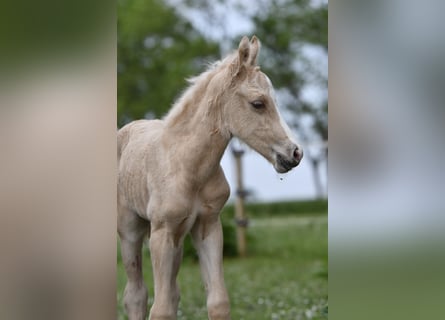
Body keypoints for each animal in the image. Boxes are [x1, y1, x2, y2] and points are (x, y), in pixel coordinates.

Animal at [117, 36, 302, 318]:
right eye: (258, 103)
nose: (295, 153)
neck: (188, 167)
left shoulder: (208, 226)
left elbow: (217, 301)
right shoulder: (162, 232)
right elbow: (160, 309)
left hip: (179, 239)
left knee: (173, 292)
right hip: (131, 230)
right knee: (135, 294)